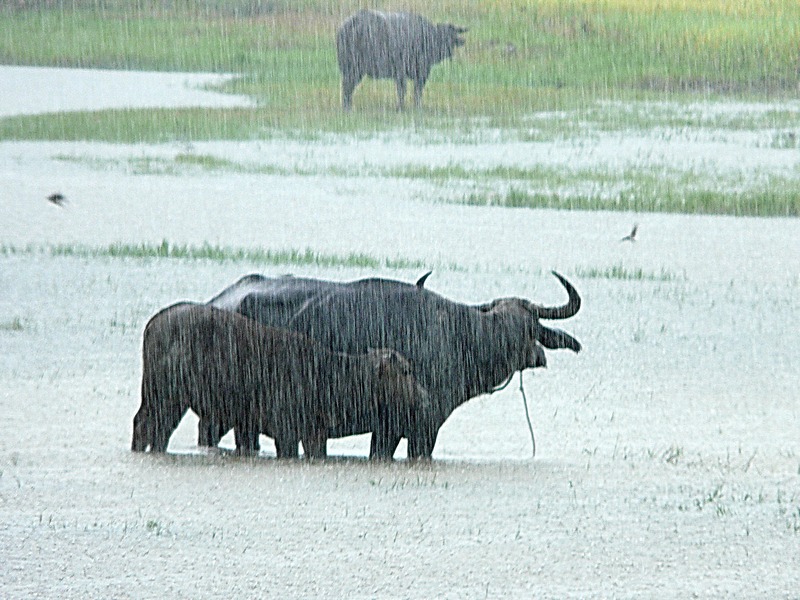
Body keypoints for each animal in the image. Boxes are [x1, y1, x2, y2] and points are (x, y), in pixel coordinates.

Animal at [131, 302, 432, 458]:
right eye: (406, 371)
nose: (425, 396)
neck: (336, 378)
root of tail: (153, 324)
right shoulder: (289, 429)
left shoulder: (313, 433)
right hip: (168, 395)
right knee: (152, 426)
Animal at [206, 272, 580, 460]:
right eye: (511, 328)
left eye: (530, 326)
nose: (534, 356)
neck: (458, 337)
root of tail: (221, 301)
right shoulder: (416, 426)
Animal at [338, 9, 468, 110]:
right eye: (442, 35)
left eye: (451, 35)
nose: (448, 50)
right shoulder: (406, 72)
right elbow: (406, 90)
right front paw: (402, 107)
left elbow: (416, 91)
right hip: (354, 68)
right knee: (347, 85)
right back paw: (347, 107)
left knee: (348, 86)